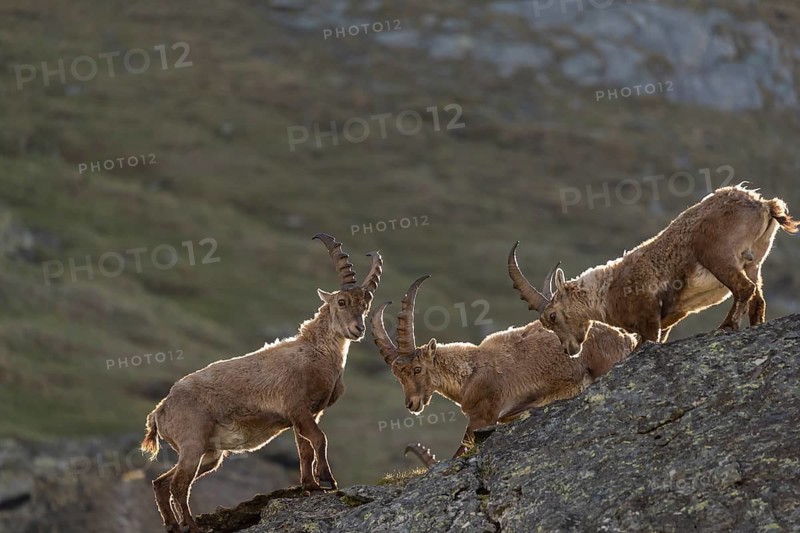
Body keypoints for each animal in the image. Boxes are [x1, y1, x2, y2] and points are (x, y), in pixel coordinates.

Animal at [140, 233, 382, 533]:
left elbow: (305, 449)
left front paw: (311, 485)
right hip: (193, 443)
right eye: (341, 302)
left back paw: (174, 525)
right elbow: (319, 439)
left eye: (365, 306)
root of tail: (160, 411)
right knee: (178, 485)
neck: (314, 353)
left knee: (161, 483)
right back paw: (191, 526)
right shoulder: (297, 407)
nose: (358, 329)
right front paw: (327, 480)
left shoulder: (307, 414)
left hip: (209, 454)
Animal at [372, 275, 636, 458]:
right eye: (398, 376)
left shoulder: (483, 417)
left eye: (417, 369)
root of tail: (626, 337)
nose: (411, 404)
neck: (471, 371)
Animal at [509, 185, 799, 356]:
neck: (606, 290)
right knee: (757, 298)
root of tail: (763, 205)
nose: (569, 350)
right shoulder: (670, 318)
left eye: (552, 316)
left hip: (719, 256)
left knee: (744, 289)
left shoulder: (648, 317)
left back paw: (727, 326)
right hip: (754, 262)